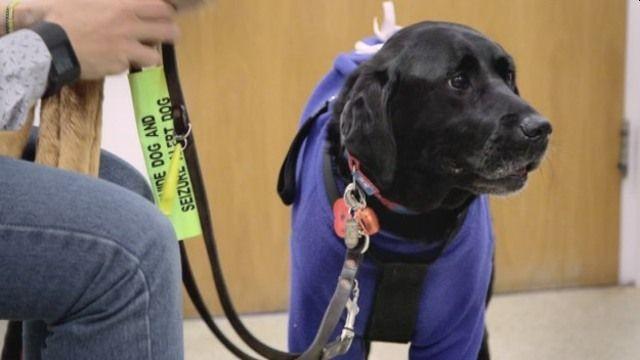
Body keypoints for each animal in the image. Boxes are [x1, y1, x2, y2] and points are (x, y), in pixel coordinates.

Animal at [284, 21, 552, 358]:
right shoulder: (317, 326)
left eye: (509, 76)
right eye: (458, 80)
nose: (541, 129)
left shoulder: (457, 330)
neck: (408, 223)